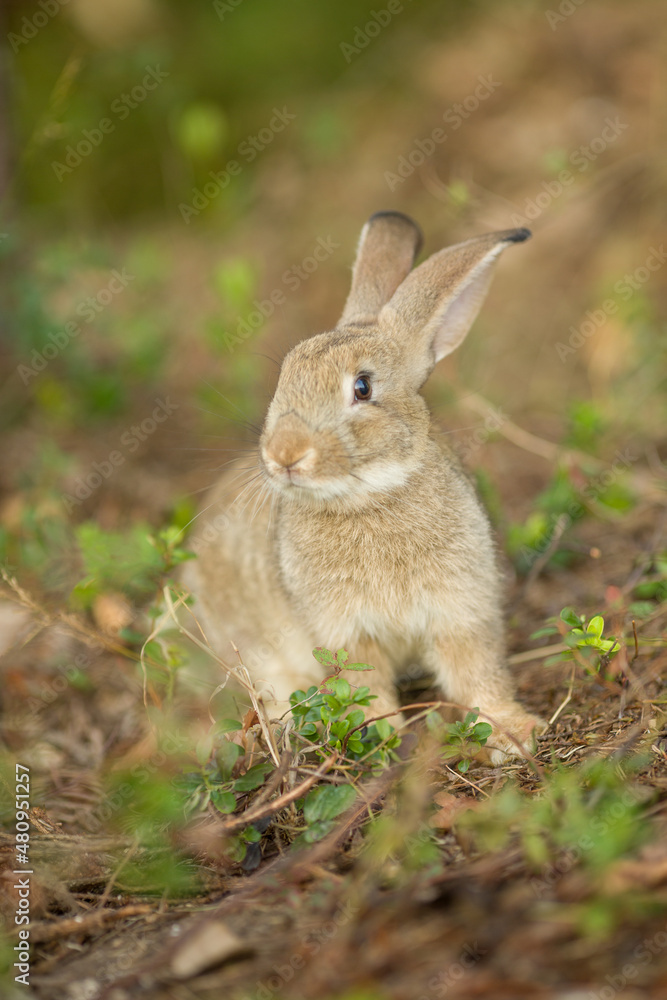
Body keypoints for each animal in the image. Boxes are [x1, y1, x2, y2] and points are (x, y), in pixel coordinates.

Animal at [182, 211, 545, 764]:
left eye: (362, 388)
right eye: (285, 378)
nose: (284, 454)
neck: (369, 497)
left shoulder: (462, 610)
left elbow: (477, 674)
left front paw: (516, 731)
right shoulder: (345, 634)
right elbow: (365, 688)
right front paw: (384, 743)